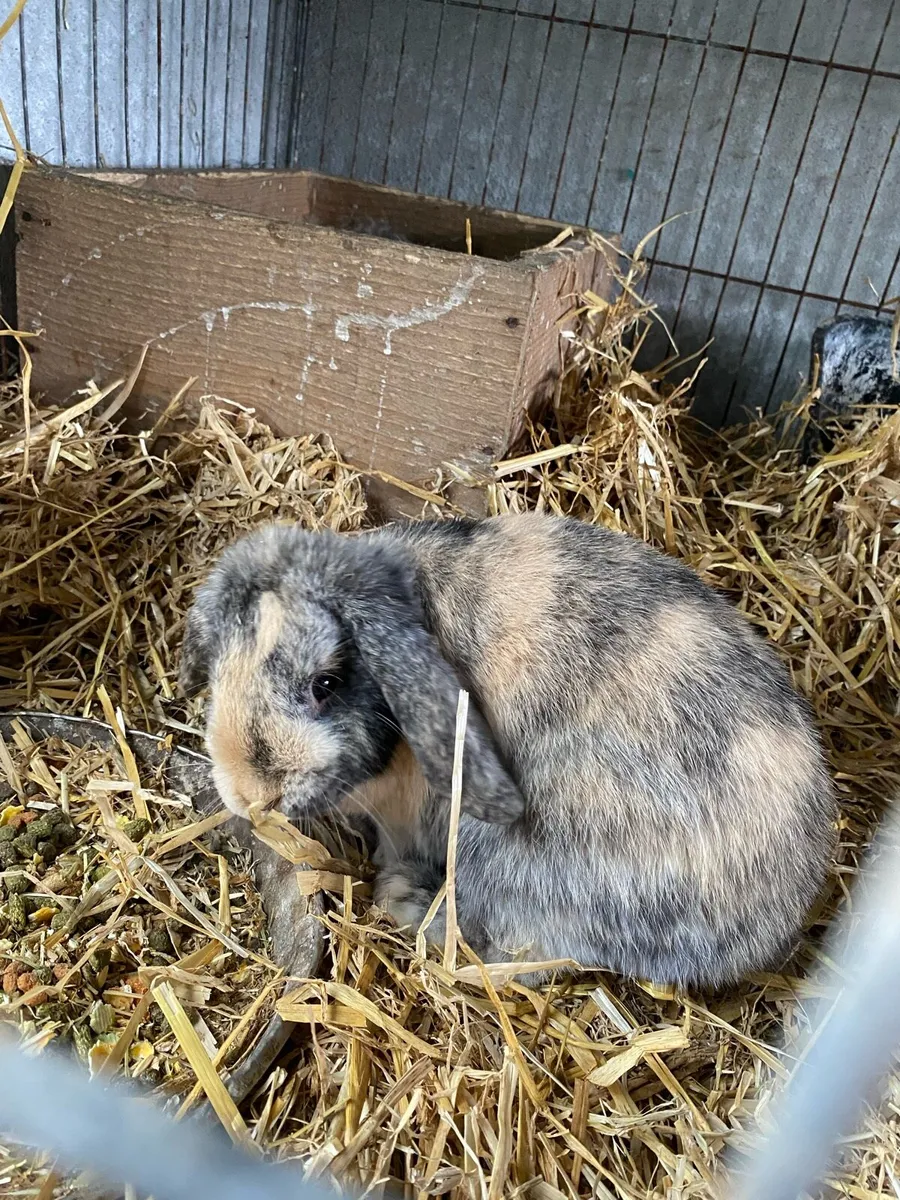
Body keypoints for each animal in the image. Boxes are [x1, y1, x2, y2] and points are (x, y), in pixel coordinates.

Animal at [179, 512, 836, 990]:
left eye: (326, 683)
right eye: (219, 668)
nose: (247, 795)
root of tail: (770, 927)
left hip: (503, 860)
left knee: (525, 957)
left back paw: (409, 904)